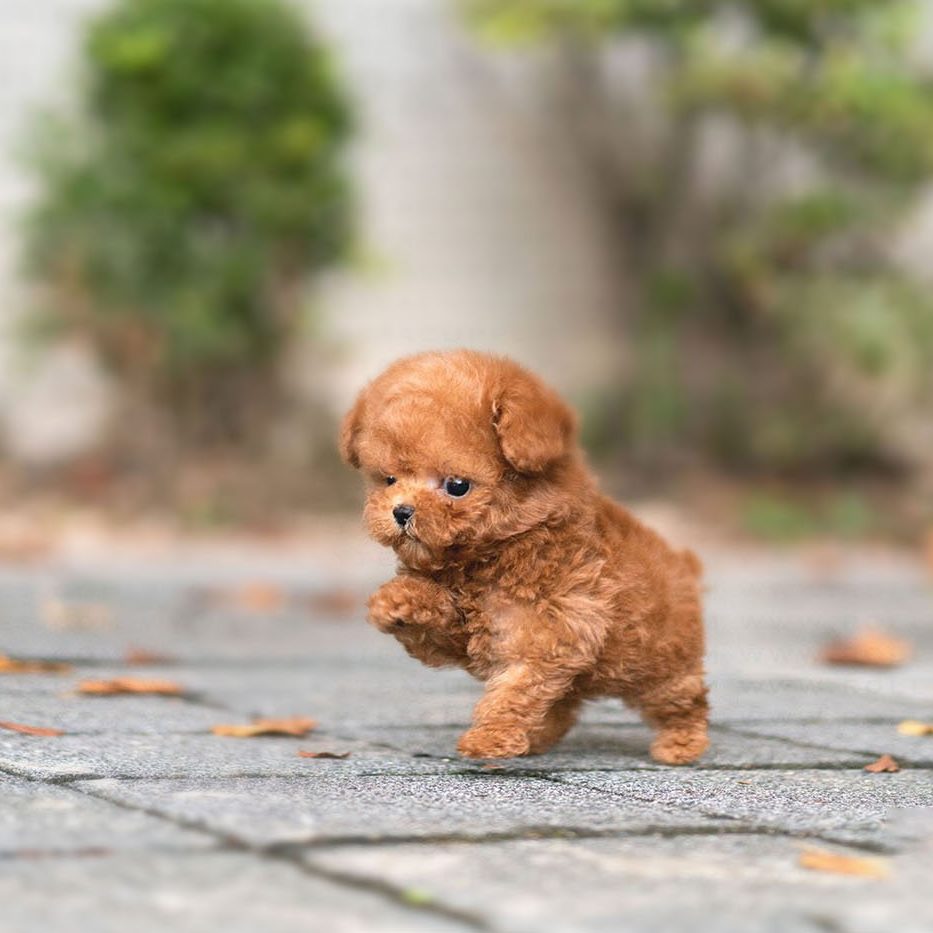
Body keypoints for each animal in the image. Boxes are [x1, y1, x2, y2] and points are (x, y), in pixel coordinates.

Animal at [338, 350, 708, 764]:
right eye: (388, 480)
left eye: (457, 486)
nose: (401, 512)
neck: (496, 551)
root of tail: (684, 564)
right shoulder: (467, 635)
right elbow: (439, 618)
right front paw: (396, 602)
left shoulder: (549, 636)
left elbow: (513, 692)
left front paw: (489, 738)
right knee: (563, 702)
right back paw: (540, 737)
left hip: (658, 662)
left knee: (683, 699)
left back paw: (680, 744)